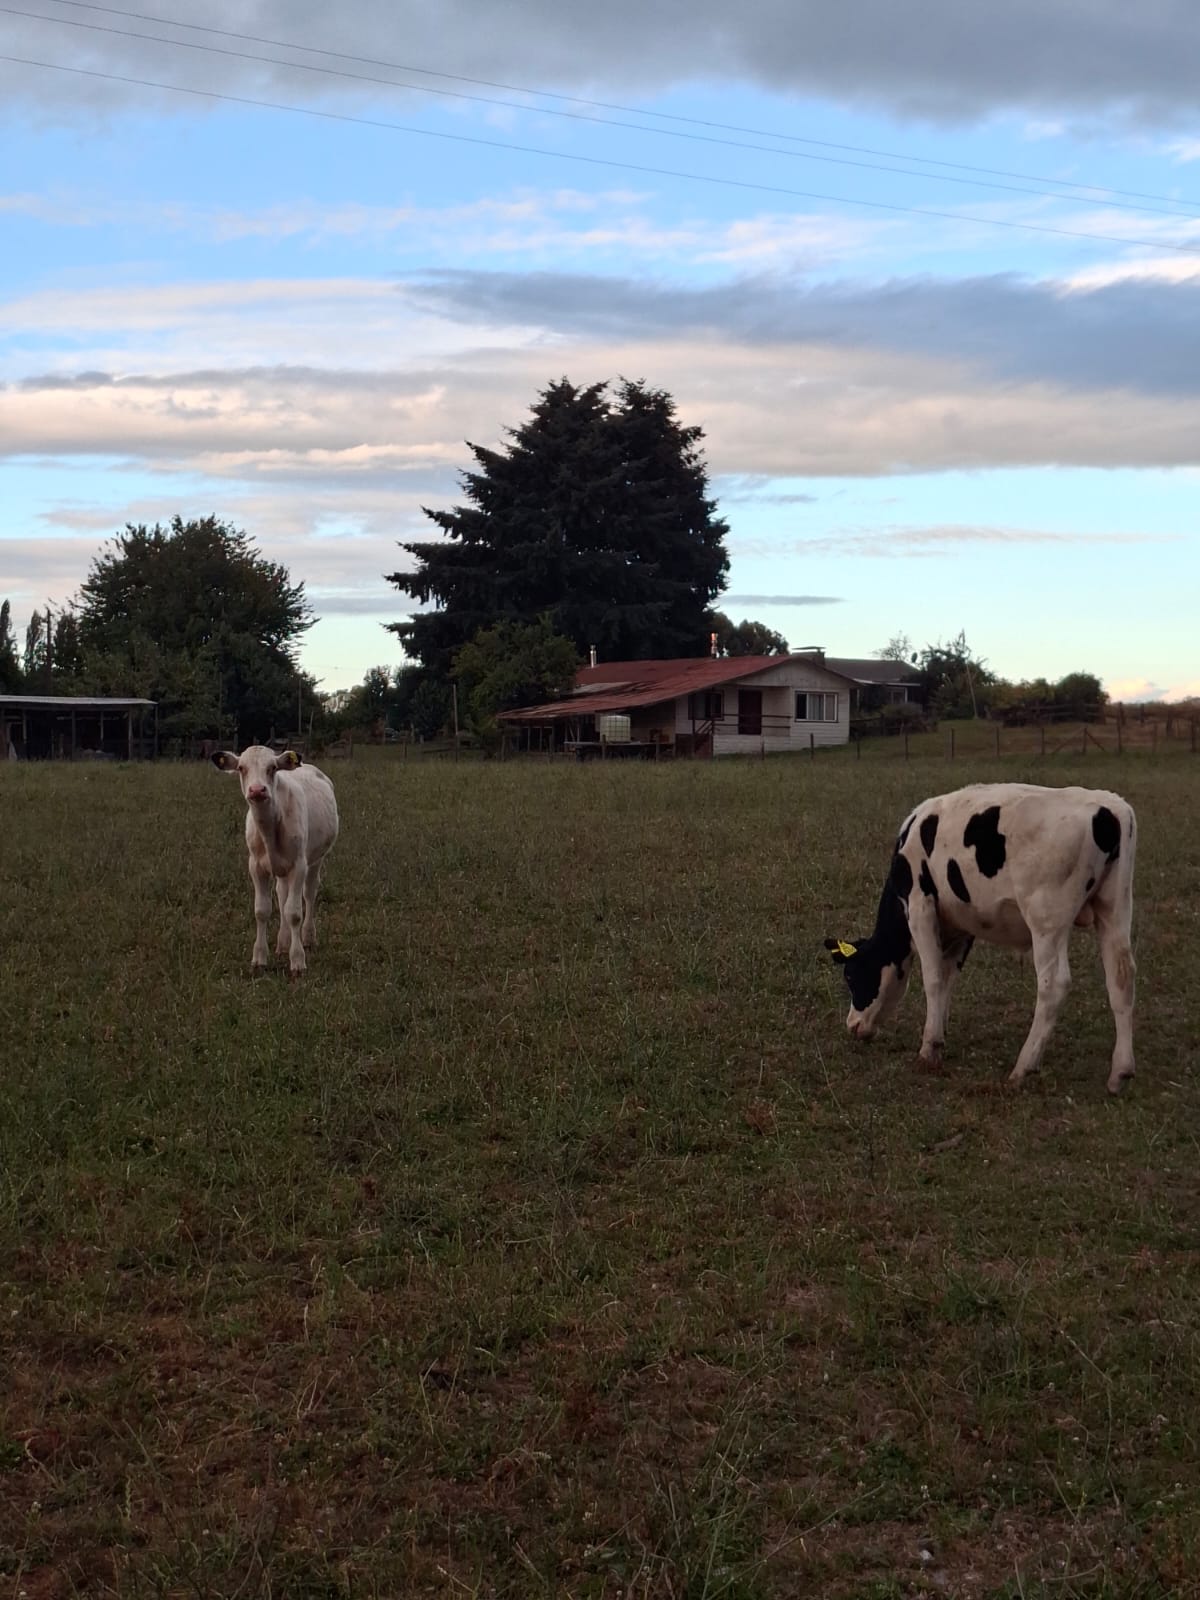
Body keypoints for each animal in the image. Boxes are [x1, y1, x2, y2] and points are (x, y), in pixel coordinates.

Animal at [211, 745, 339, 976]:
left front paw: (297, 961)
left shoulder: (299, 866)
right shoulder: (256, 867)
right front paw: (259, 959)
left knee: (309, 893)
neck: (270, 829)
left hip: (316, 860)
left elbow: (294, 912)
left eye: (272, 768)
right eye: (241, 768)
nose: (257, 790)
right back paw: (282, 942)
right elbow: (262, 910)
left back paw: (308, 937)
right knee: (282, 895)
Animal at [824, 783, 1136, 1093]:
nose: (852, 1024)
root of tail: (1111, 808)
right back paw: (1120, 1072)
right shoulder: (961, 925)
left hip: (1046, 920)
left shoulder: (920, 905)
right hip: (1115, 910)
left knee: (1054, 985)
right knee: (1121, 979)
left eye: (851, 975)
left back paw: (1024, 1066)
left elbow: (933, 978)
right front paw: (939, 1032)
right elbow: (948, 977)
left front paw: (928, 1049)